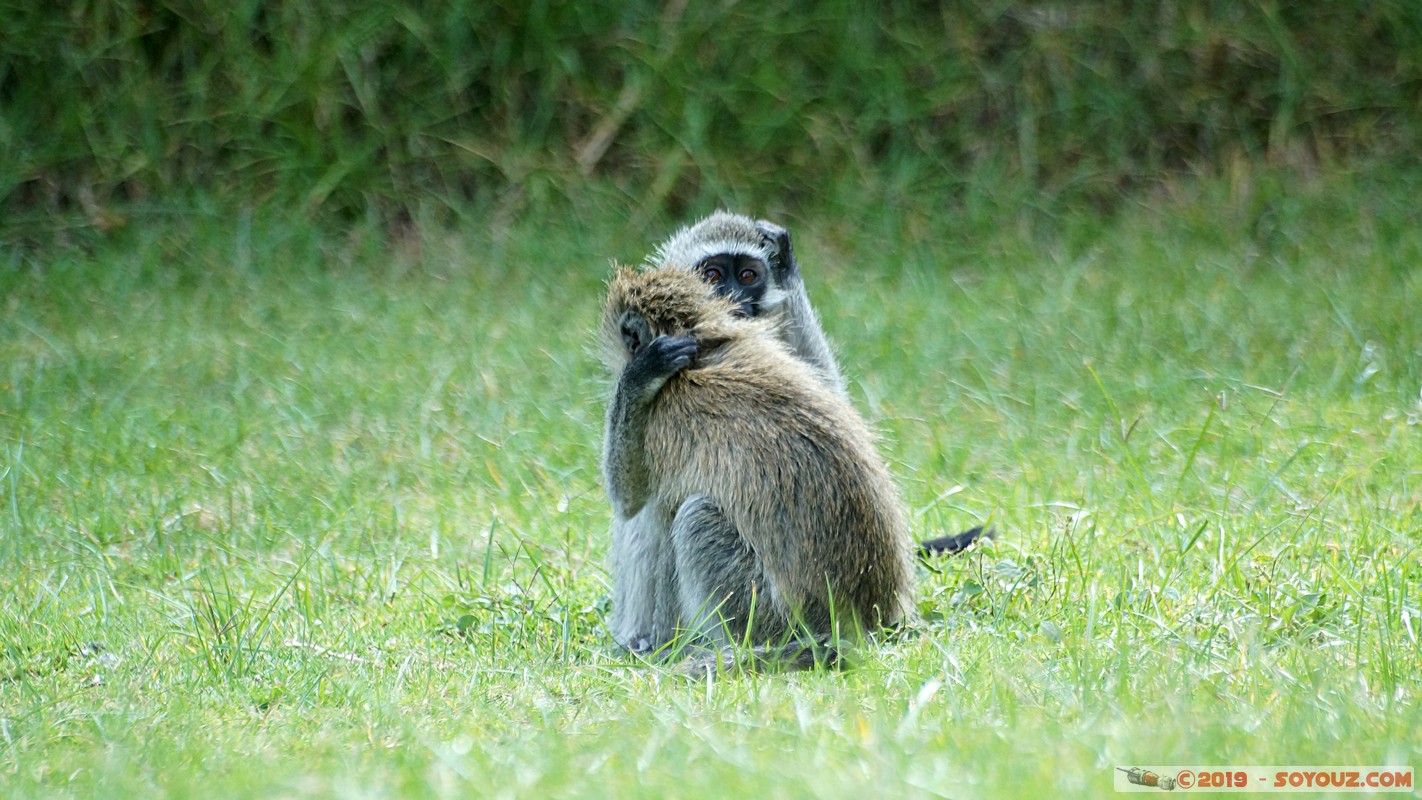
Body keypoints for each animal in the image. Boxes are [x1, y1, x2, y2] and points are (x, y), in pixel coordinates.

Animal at [597, 265, 910, 667]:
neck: (704, 345)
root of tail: (866, 622)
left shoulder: (662, 419)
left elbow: (629, 497)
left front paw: (636, 380)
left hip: (770, 616)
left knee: (688, 517)